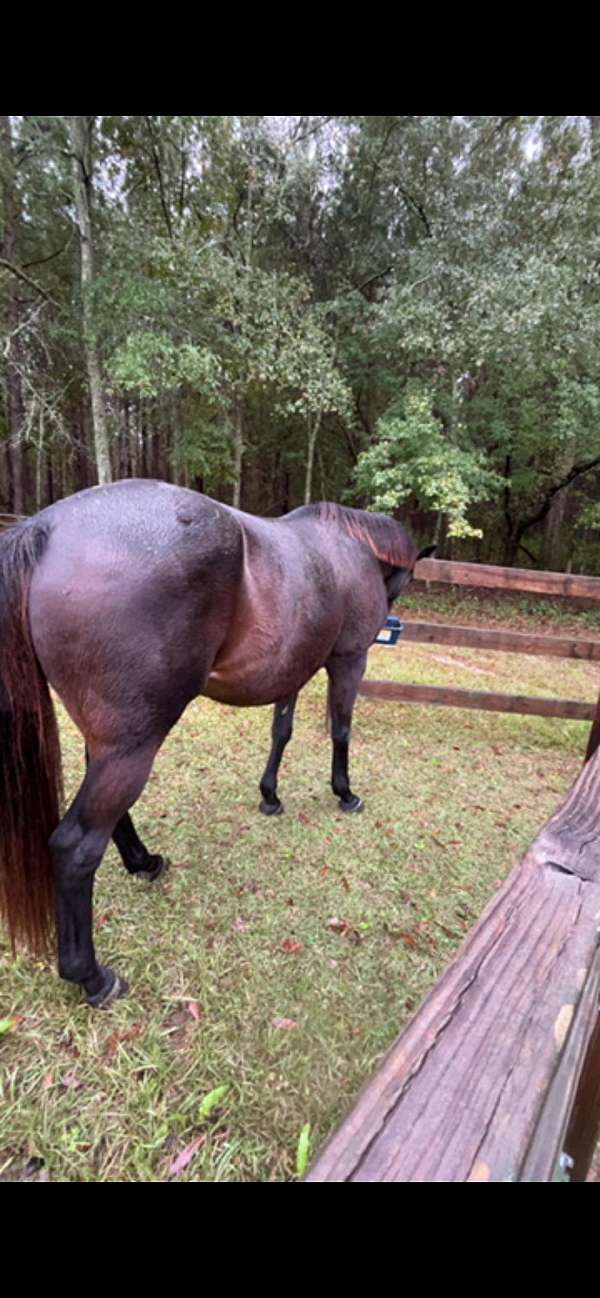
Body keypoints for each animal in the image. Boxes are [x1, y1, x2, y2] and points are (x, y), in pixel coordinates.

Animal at [0, 479, 430, 1007]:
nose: (393, 621)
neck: (349, 550)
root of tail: (47, 528)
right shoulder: (347, 661)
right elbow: (341, 729)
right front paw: (344, 793)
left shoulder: (292, 668)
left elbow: (281, 731)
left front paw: (270, 795)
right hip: (133, 746)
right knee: (76, 846)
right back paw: (93, 977)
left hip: (112, 742)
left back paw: (145, 862)